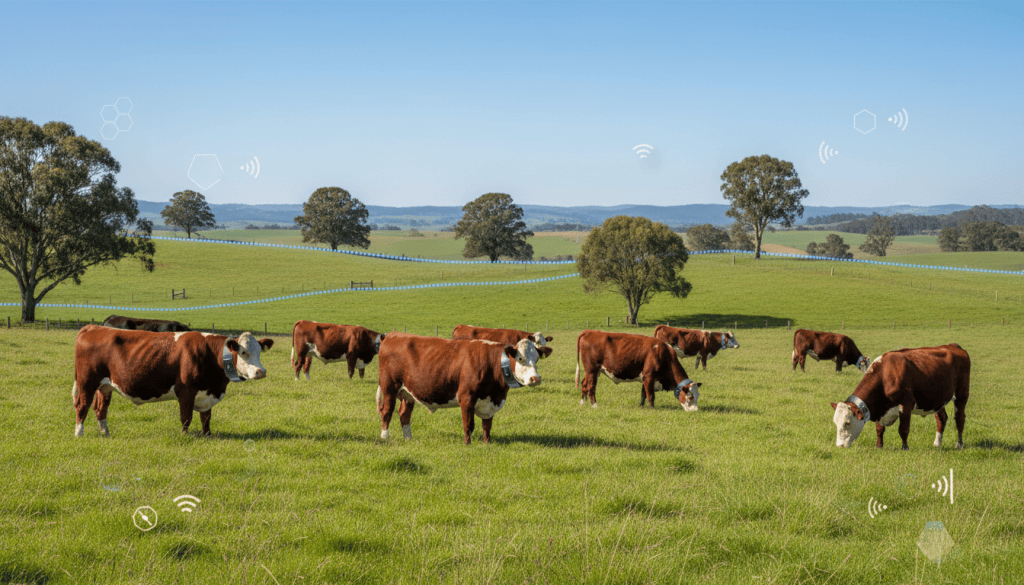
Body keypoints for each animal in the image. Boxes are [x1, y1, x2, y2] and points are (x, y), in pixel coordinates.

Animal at [72, 325, 273, 436]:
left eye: (259, 351)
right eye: (243, 352)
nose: (261, 371)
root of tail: (94, 327)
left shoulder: (207, 393)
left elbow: (206, 418)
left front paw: (207, 435)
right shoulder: (186, 391)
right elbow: (186, 418)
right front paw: (184, 436)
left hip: (104, 386)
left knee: (100, 408)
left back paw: (105, 433)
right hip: (86, 382)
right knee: (82, 406)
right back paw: (79, 433)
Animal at [375, 333, 544, 444]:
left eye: (536, 359)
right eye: (520, 358)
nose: (535, 379)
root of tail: (391, 335)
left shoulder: (489, 402)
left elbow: (487, 425)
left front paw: (487, 443)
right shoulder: (466, 397)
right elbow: (468, 424)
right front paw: (467, 444)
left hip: (407, 392)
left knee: (404, 413)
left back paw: (408, 438)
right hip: (389, 387)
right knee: (387, 411)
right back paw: (385, 437)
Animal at [831, 344, 970, 450]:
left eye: (847, 423)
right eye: (835, 422)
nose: (839, 445)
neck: (885, 374)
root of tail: (953, 346)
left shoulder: (906, 405)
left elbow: (903, 429)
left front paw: (905, 448)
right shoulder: (881, 408)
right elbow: (879, 430)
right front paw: (879, 446)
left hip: (962, 394)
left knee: (959, 418)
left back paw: (959, 444)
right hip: (938, 399)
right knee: (941, 419)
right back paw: (937, 443)